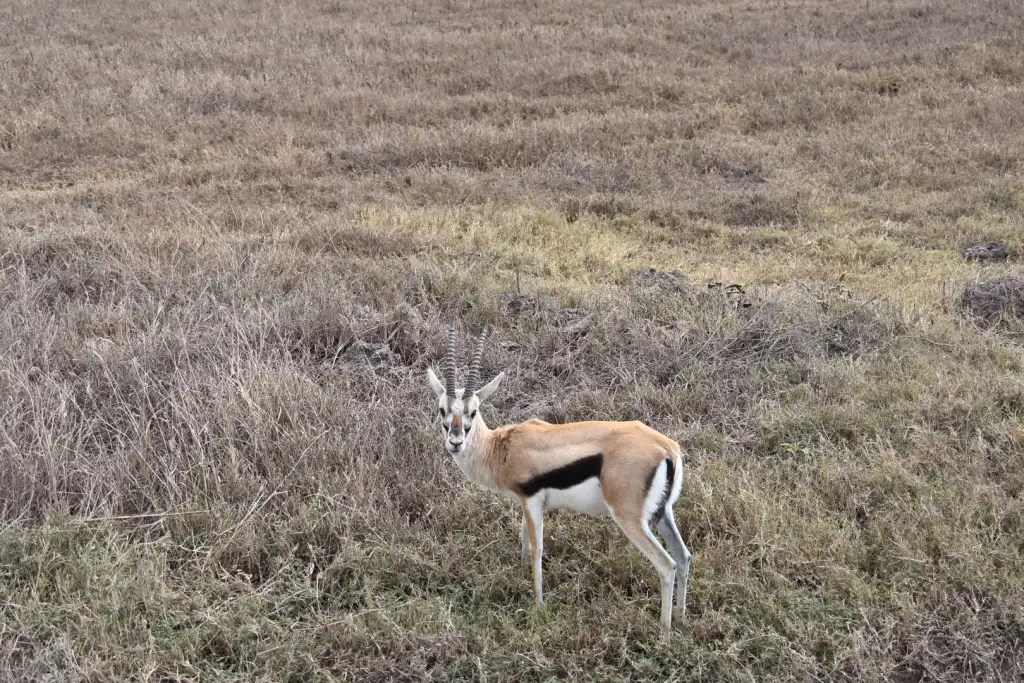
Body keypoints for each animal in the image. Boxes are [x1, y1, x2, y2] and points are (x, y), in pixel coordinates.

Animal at [426, 324, 692, 638]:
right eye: (442, 410)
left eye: (473, 411)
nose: (455, 441)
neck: (503, 448)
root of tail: (666, 449)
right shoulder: (525, 503)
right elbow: (523, 541)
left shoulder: (532, 500)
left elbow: (536, 548)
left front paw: (538, 605)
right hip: (664, 514)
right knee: (684, 557)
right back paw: (682, 618)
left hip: (630, 519)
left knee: (666, 564)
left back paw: (664, 632)